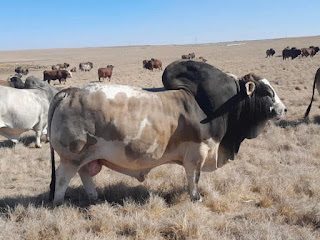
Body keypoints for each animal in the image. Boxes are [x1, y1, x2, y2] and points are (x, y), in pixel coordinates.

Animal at [48, 60, 288, 204]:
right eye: (267, 92)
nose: (283, 109)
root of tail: (69, 92)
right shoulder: (197, 154)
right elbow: (194, 178)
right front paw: (196, 198)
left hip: (85, 157)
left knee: (84, 174)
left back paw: (94, 197)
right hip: (72, 157)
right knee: (62, 178)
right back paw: (59, 203)